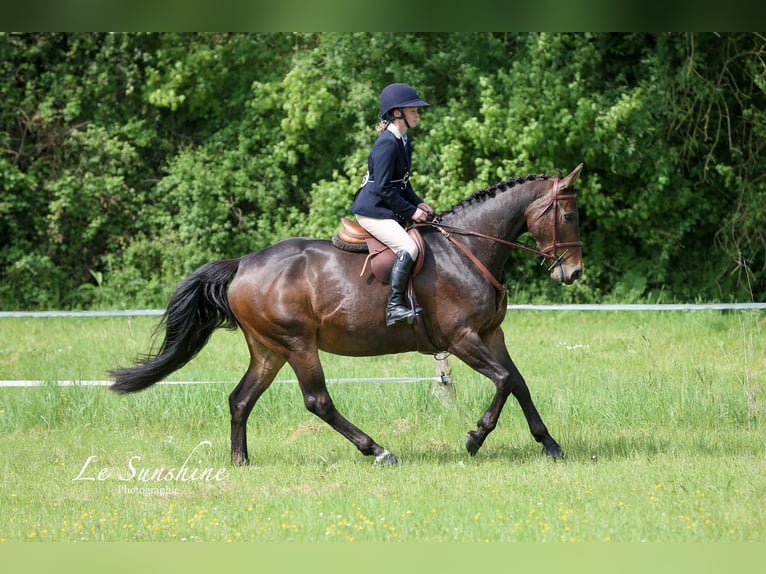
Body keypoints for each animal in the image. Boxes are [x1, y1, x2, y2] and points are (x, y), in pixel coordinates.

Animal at [109, 163, 588, 468]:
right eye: (568, 214)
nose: (573, 272)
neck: (468, 247)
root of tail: (242, 264)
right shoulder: (462, 338)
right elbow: (504, 381)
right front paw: (475, 437)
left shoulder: (490, 335)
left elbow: (518, 382)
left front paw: (549, 445)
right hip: (298, 344)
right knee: (317, 401)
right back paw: (378, 451)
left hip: (268, 349)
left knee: (240, 399)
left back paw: (240, 461)